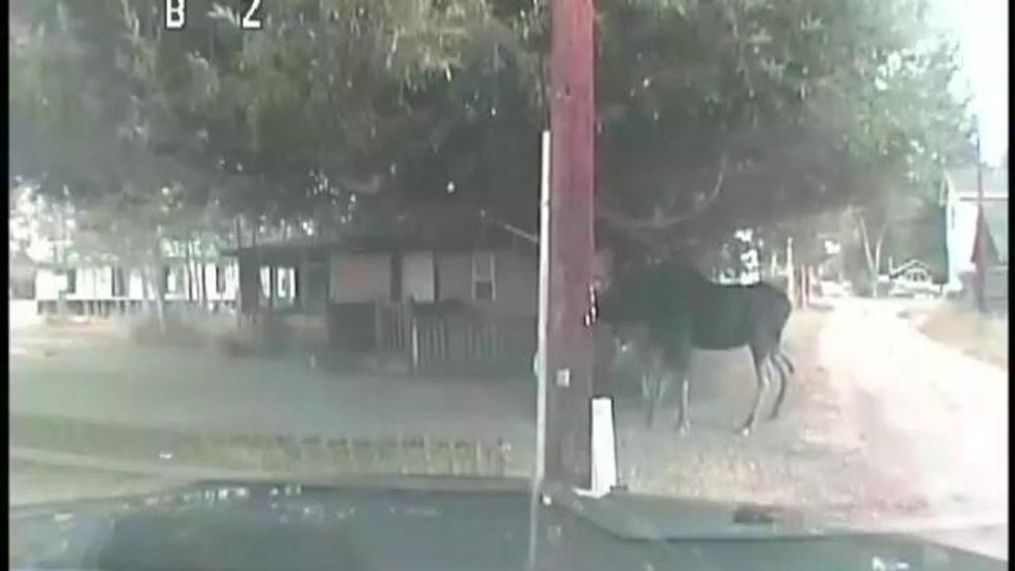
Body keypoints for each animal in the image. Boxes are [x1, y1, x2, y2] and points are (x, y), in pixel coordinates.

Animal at [592, 256, 795, 436]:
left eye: (618, 287)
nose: (598, 307)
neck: (653, 302)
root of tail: (788, 305)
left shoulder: (680, 340)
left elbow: (679, 380)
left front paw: (682, 423)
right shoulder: (671, 343)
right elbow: (662, 380)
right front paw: (651, 417)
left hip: (759, 341)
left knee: (766, 379)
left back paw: (748, 424)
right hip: (770, 343)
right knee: (784, 368)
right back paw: (774, 411)